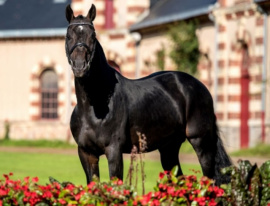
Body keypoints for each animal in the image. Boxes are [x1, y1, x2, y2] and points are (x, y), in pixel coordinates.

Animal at [64, 4, 231, 185]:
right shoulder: (86, 154)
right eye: (68, 36)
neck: (95, 106)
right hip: (169, 148)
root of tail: (200, 87)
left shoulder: (114, 151)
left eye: (93, 36)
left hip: (201, 142)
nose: (80, 66)